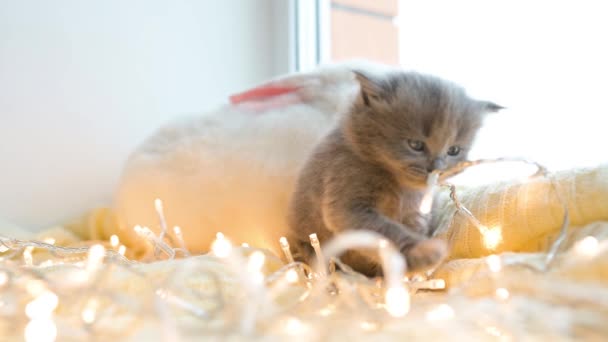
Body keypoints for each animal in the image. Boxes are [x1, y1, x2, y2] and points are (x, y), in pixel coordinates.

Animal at [288, 69, 502, 276]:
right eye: (415, 145)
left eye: (454, 150)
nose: (437, 169)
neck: (400, 187)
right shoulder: (346, 203)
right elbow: (386, 232)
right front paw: (422, 253)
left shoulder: (417, 213)